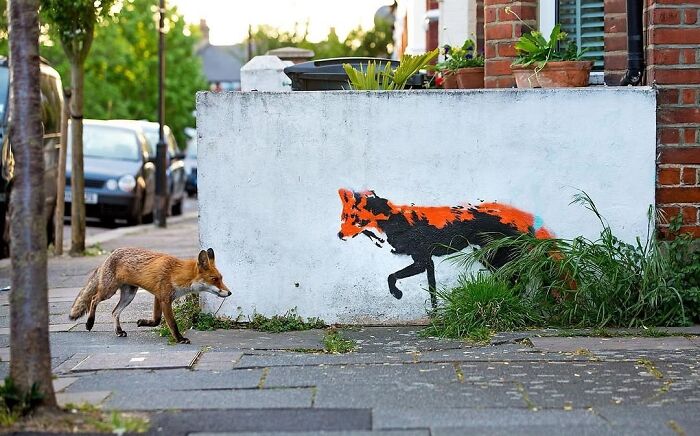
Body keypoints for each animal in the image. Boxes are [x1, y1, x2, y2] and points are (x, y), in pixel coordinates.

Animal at [69, 247, 231, 344]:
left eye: (221, 278)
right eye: (214, 279)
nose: (230, 292)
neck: (176, 274)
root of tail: (111, 254)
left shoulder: (158, 297)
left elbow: (157, 320)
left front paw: (143, 322)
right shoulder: (164, 299)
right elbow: (172, 323)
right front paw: (180, 339)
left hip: (129, 295)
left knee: (114, 312)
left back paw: (119, 331)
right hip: (109, 291)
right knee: (94, 299)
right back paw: (90, 323)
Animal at [337, 189, 554, 308]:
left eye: (356, 219)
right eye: (344, 217)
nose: (339, 235)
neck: (395, 222)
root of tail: (525, 220)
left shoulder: (422, 260)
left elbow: (391, 276)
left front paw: (397, 294)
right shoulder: (428, 263)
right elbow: (432, 291)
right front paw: (435, 315)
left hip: (492, 257)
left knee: (517, 277)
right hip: (488, 257)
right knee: (514, 278)